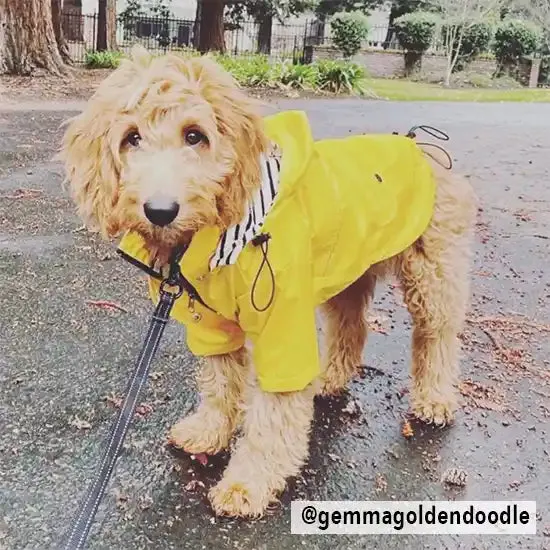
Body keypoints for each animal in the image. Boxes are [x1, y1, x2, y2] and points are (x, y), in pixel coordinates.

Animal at [61, 45, 478, 520]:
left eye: (194, 135)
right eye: (131, 137)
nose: (160, 210)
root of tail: (416, 144)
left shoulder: (283, 325)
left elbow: (274, 415)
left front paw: (248, 483)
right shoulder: (209, 322)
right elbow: (220, 383)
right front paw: (210, 431)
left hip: (433, 270)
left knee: (438, 334)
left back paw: (434, 398)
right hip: (349, 271)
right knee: (352, 325)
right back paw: (330, 377)